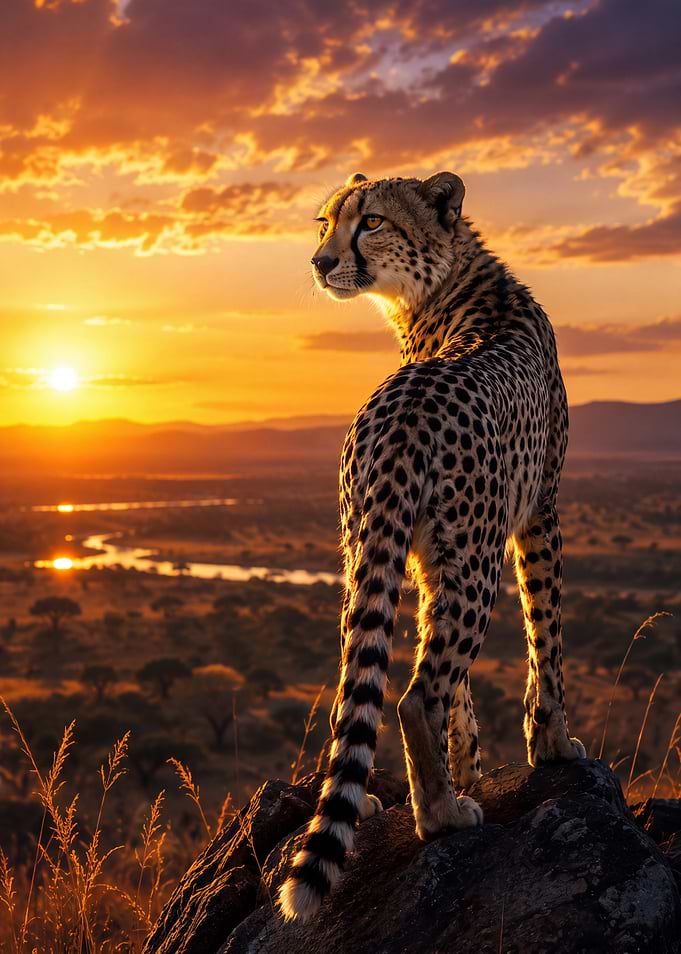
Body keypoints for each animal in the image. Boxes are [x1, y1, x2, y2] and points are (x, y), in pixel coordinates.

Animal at [279, 171, 586, 922]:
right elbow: (546, 634)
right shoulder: (538, 511)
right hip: (475, 566)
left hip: (367, 555)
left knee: (359, 690)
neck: (446, 288)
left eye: (371, 222)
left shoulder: (425, 555)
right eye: (326, 222)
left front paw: (467, 762)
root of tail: (402, 408)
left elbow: (461, 676)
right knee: (416, 695)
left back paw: (410, 796)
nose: (320, 262)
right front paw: (551, 744)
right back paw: (441, 816)